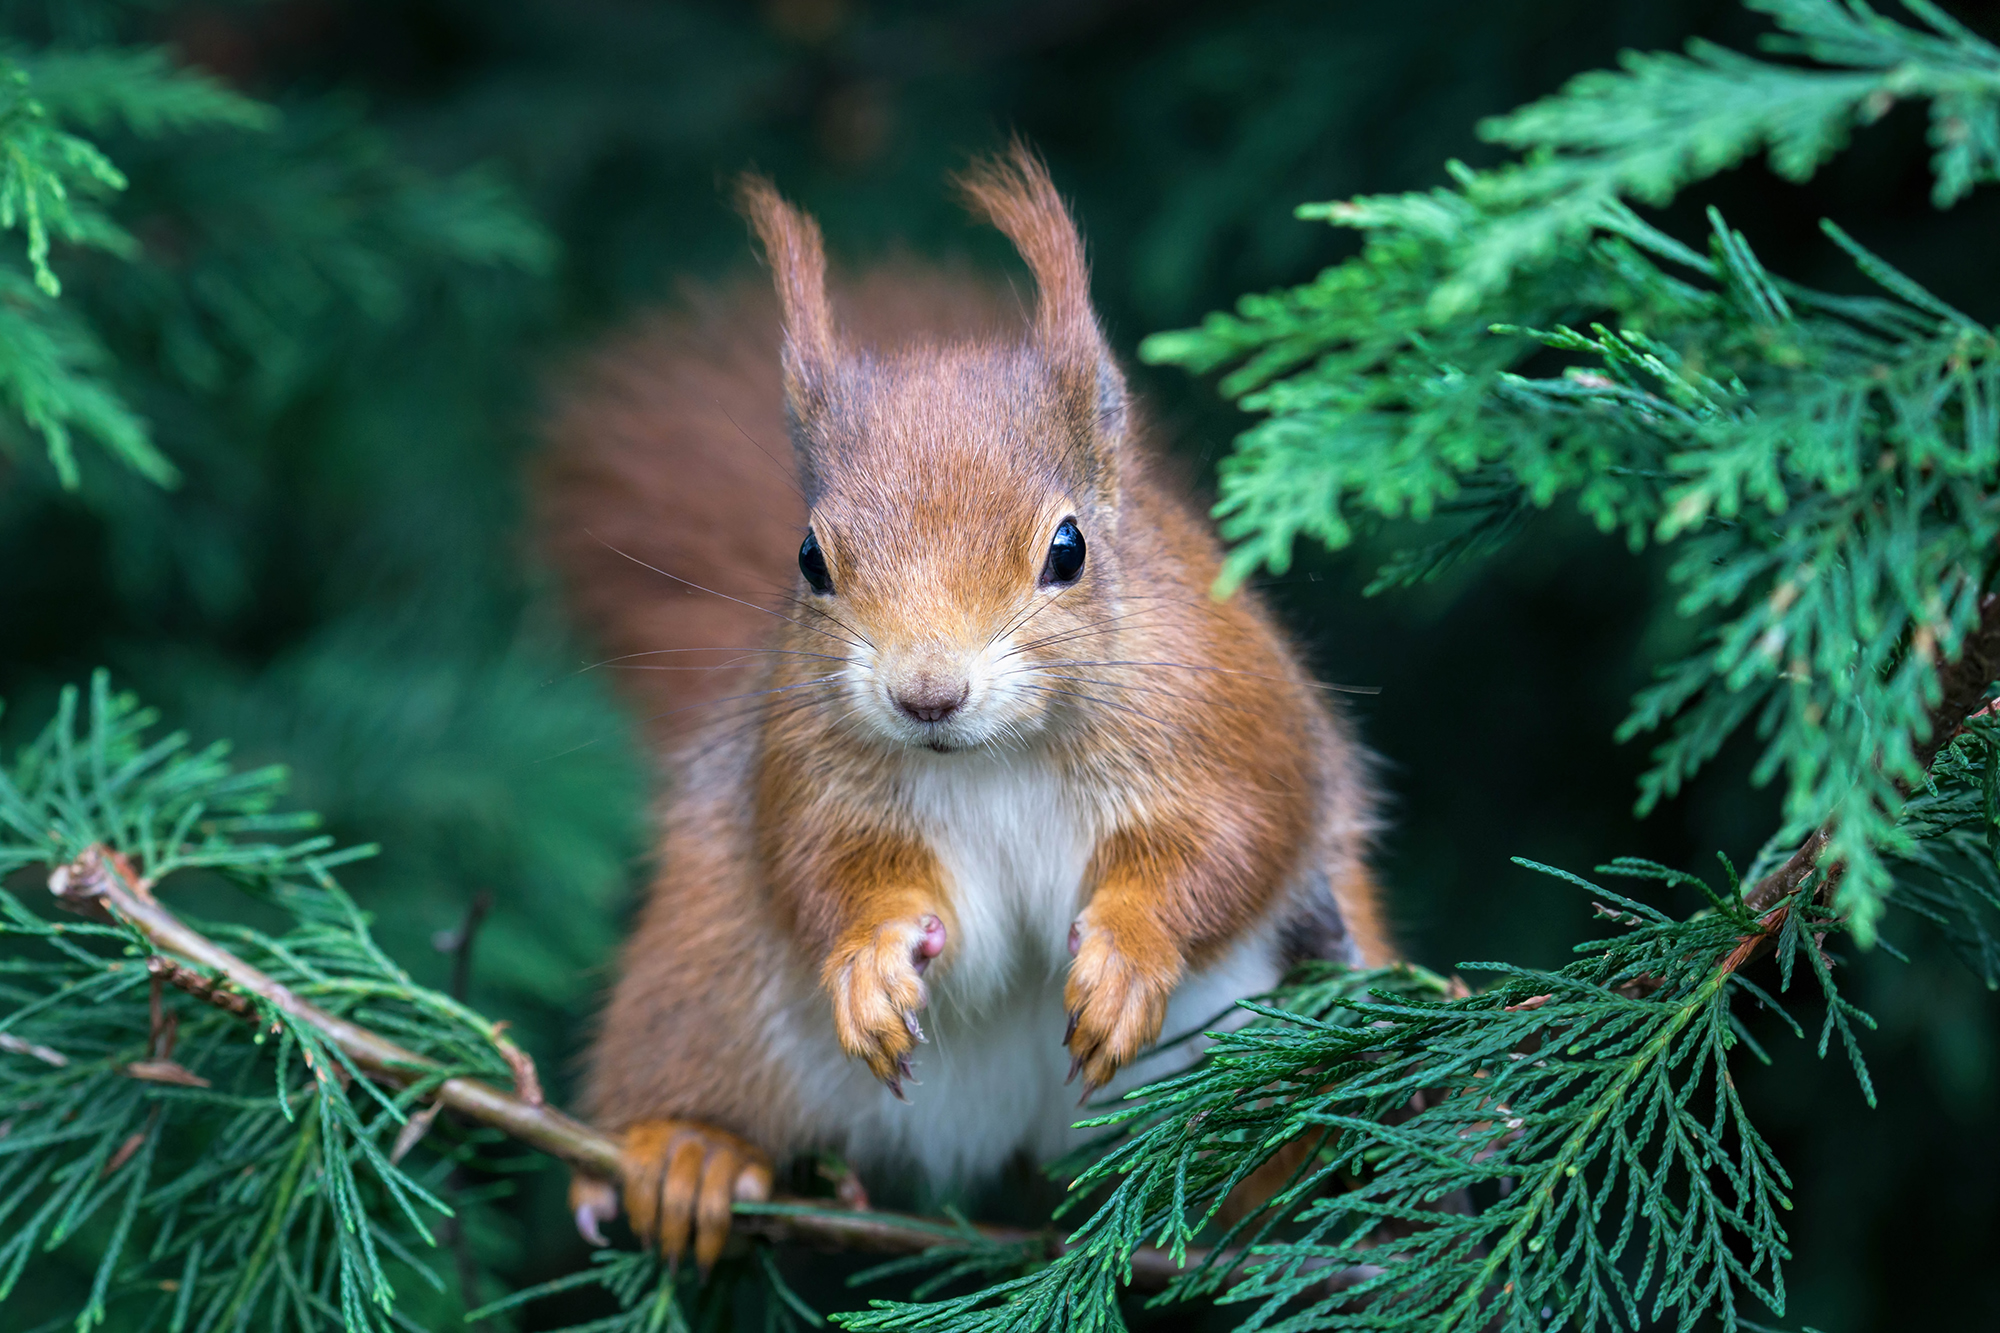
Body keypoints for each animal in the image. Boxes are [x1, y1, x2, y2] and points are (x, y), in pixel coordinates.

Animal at [541, 143, 1388, 1273]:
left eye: (1068, 548)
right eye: (809, 558)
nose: (926, 693)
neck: (998, 753)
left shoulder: (1225, 718)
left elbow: (1230, 841)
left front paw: (1128, 951)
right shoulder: (803, 768)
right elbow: (822, 865)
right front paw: (869, 957)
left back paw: (1287, 1169)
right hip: (707, 981)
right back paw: (690, 1147)